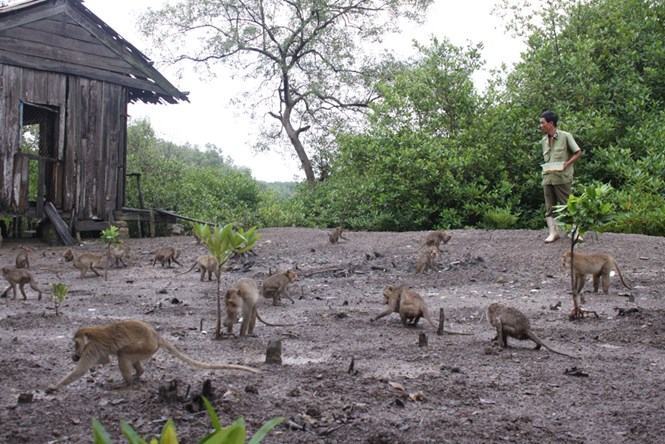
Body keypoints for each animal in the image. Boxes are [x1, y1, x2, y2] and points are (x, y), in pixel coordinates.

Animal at [45, 320, 258, 392]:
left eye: (76, 342)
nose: (74, 351)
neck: (90, 337)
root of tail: (156, 335)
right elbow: (104, 360)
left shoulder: (92, 347)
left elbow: (82, 369)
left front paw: (55, 386)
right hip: (148, 349)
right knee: (126, 356)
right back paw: (138, 374)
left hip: (146, 346)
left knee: (123, 354)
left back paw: (127, 383)